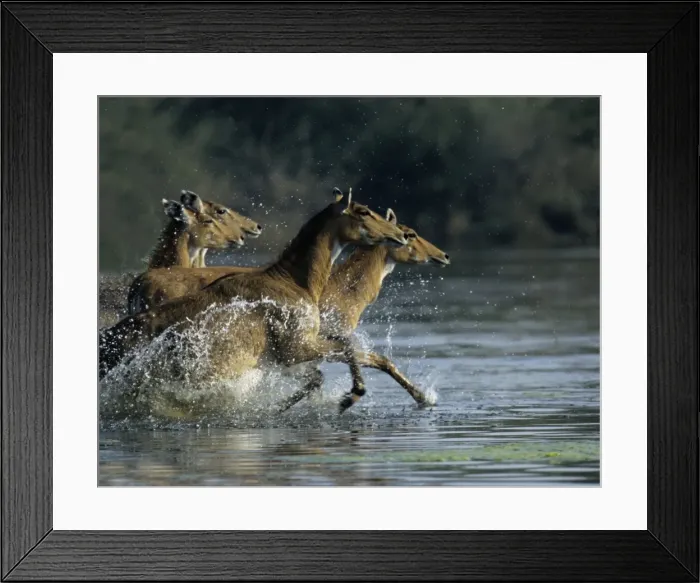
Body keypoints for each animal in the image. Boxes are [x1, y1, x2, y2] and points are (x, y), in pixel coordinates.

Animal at [99, 189, 409, 412]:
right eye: (363, 211)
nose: (400, 234)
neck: (295, 280)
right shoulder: (294, 348)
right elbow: (347, 346)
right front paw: (352, 394)